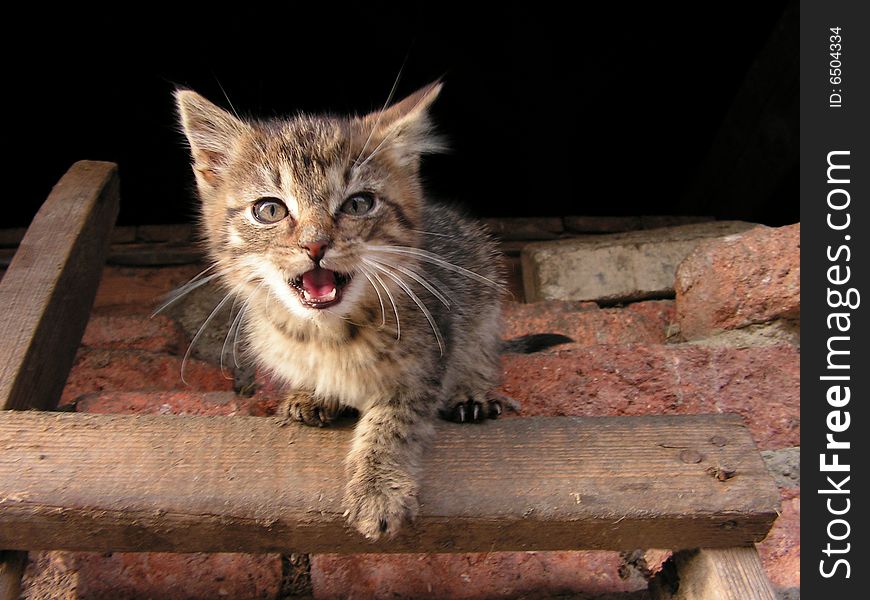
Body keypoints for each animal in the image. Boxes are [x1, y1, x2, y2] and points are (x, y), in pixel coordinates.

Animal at [176, 83, 564, 540]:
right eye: (269, 209)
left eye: (358, 204)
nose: (315, 244)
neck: (327, 334)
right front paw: (312, 393)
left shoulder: (426, 360)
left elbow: (392, 424)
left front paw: (378, 489)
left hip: (483, 293)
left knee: (484, 351)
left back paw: (473, 391)